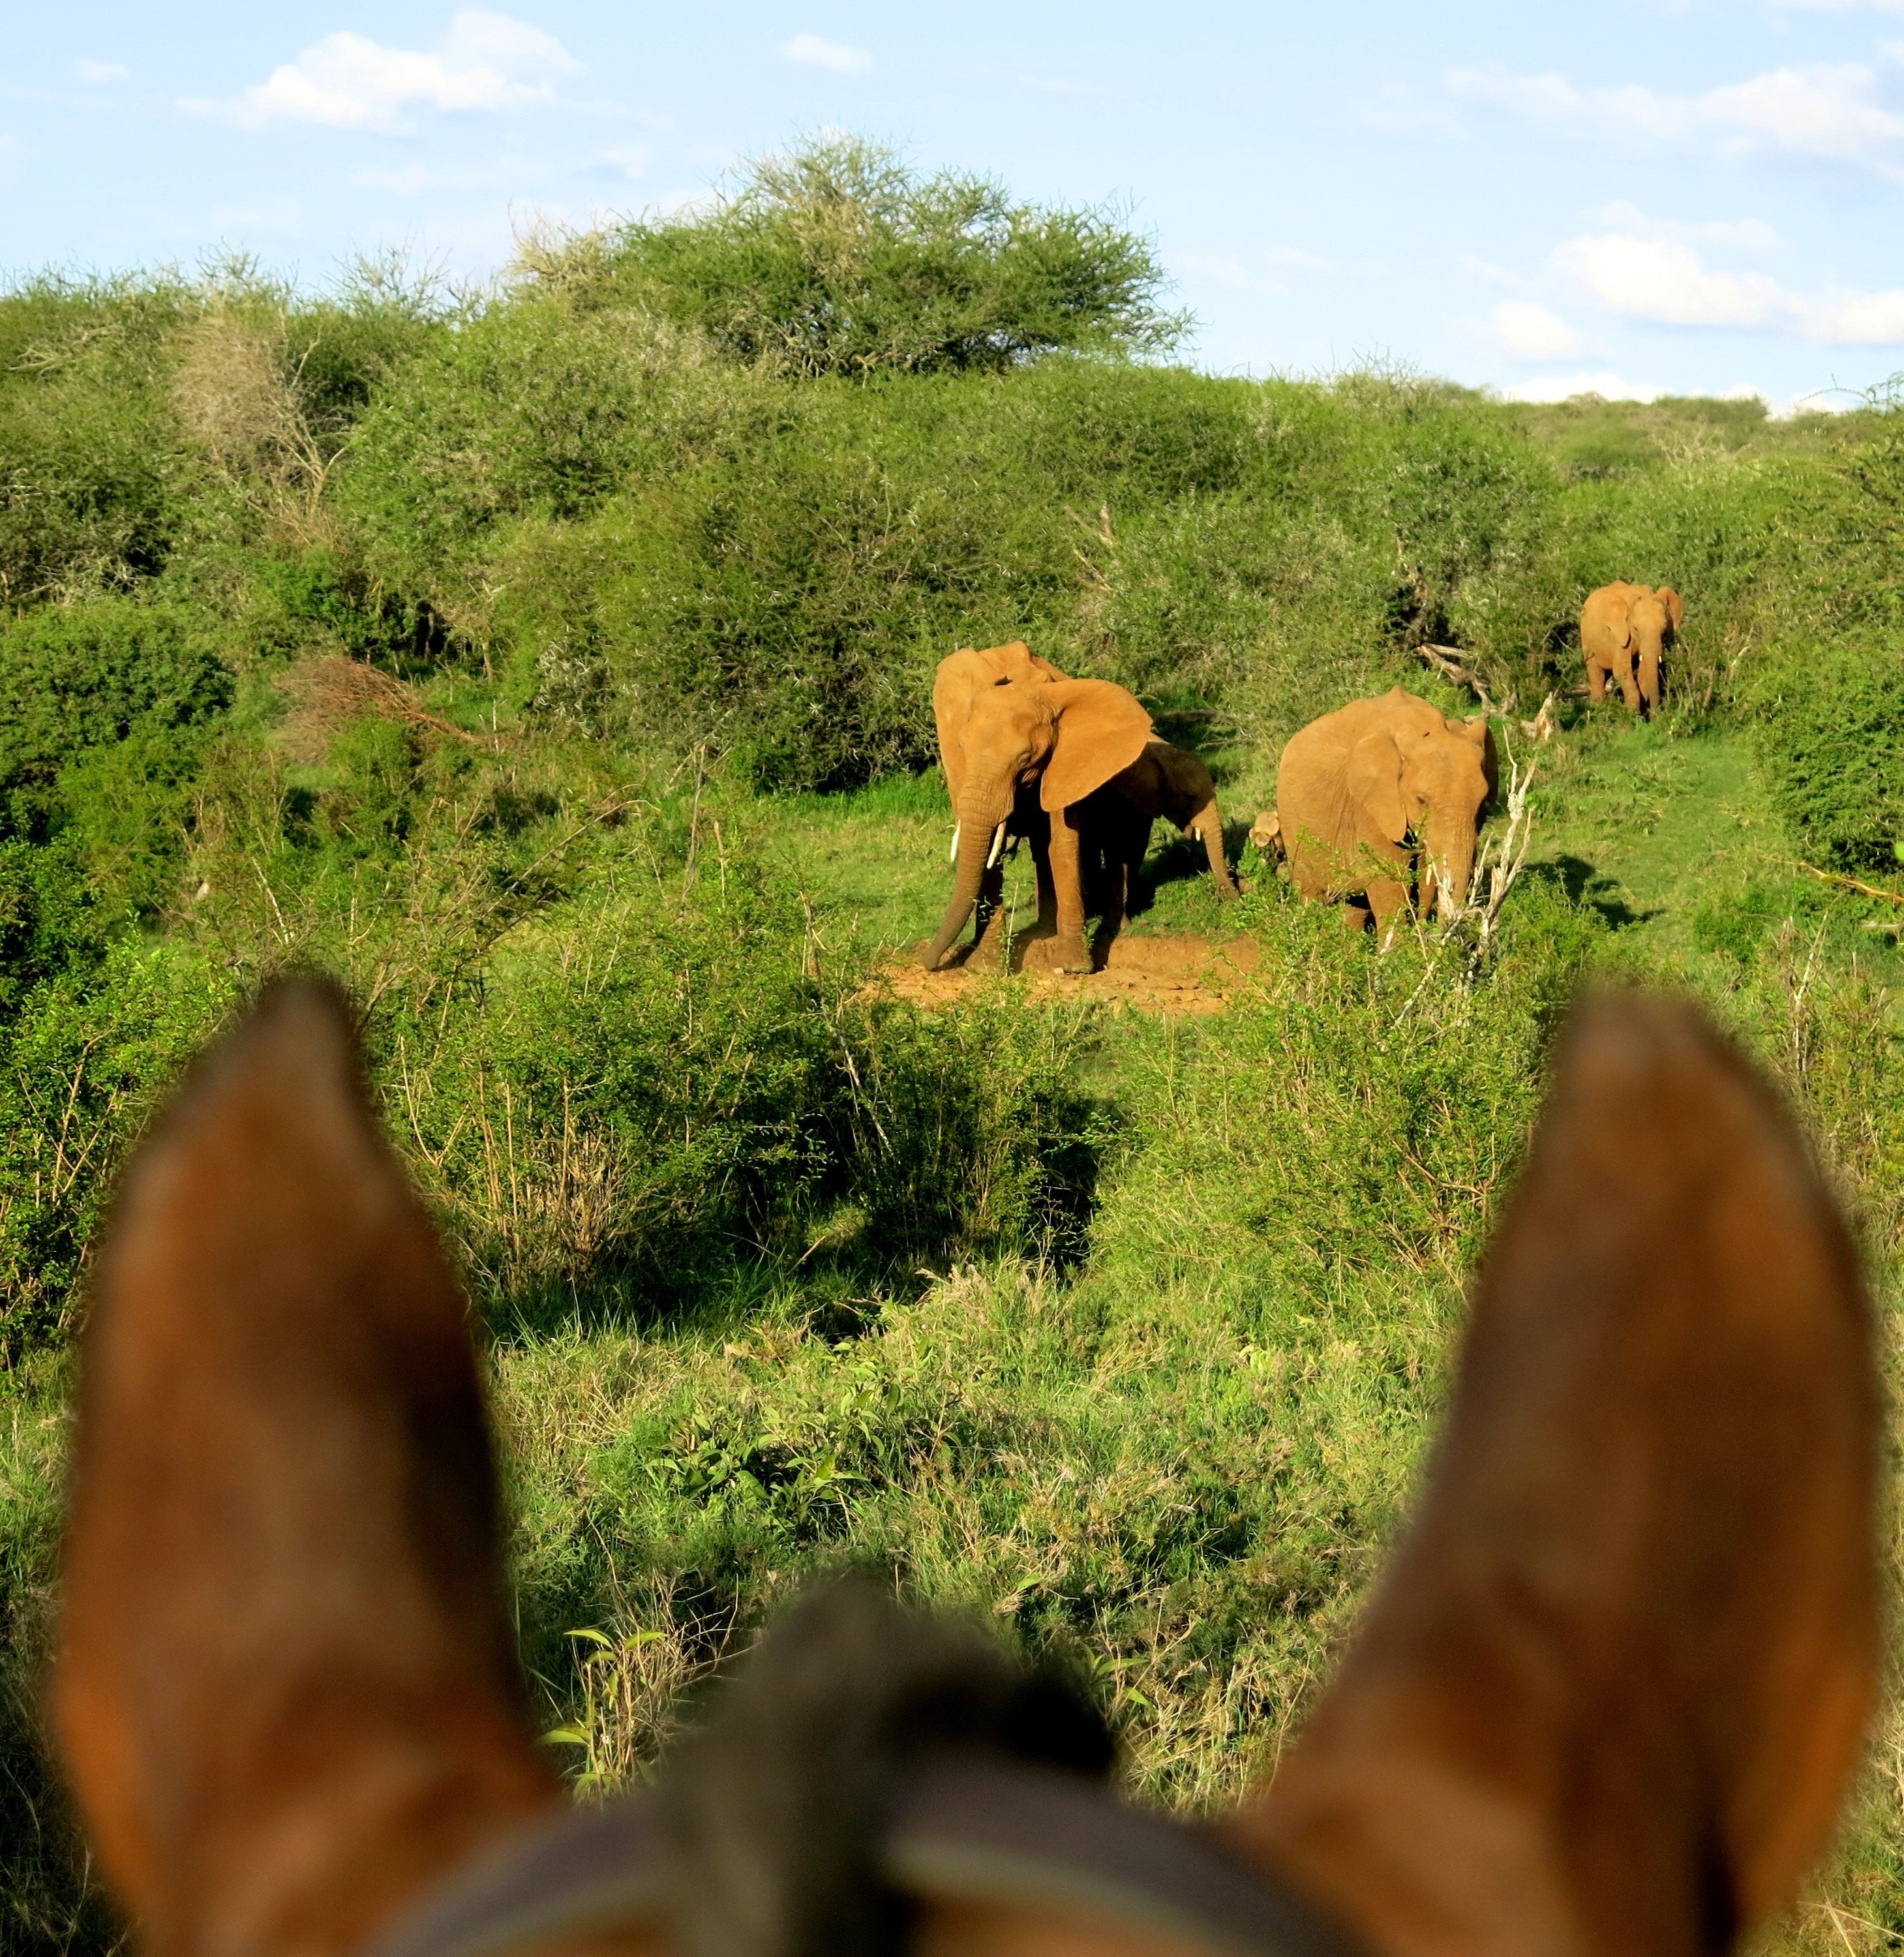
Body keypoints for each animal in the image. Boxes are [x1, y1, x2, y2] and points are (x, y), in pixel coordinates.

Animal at [920, 646, 1143, 975]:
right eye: (961, 747)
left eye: (1026, 759)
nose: (928, 963)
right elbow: (991, 853)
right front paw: (985, 969)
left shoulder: (1066, 759)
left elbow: (1063, 841)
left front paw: (1074, 968)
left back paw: (1044, 932)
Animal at [1268, 685, 1495, 935]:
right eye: (1421, 801)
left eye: (1483, 802)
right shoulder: (1371, 805)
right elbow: (1392, 885)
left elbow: (1424, 882)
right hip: (1291, 822)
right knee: (1309, 893)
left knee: (1354, 906)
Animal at [1573, 579, 1683, 720]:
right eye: (1636, 628)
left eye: (1664, 627)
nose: (1656, 717)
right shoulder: (1620, 635)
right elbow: (1621, 670)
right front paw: (1632, 717)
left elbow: (1643, 672)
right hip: (1587, 639)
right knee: (1597, 673)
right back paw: (1596, 709)